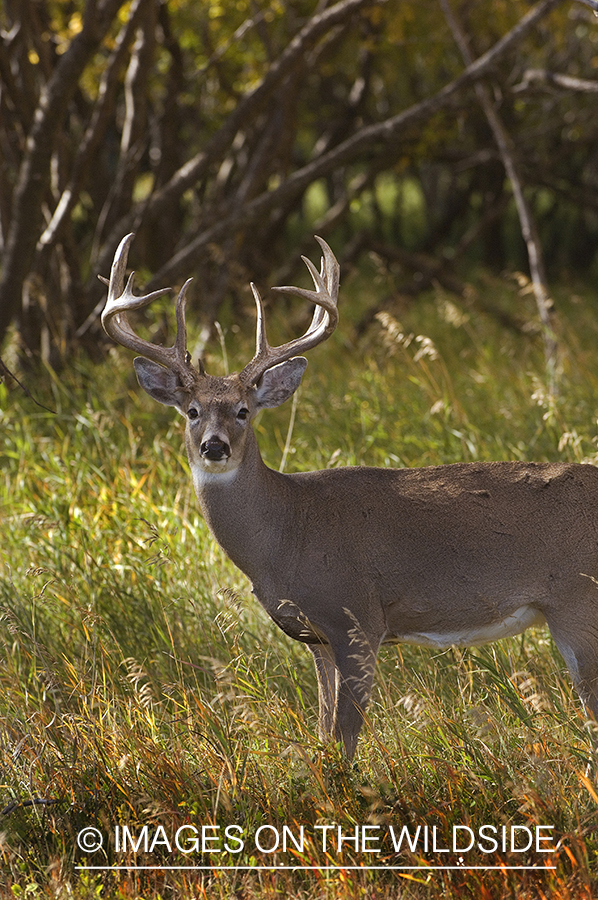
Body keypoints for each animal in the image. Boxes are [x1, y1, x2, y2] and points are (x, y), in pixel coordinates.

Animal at [102, 234, 598, 760]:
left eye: (243, 411)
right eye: (192, 411)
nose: (214, 447)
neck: (286, 533)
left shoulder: (357, 616)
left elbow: (346, 732)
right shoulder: (315, 636)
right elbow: (322, 729)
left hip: (578, 602)